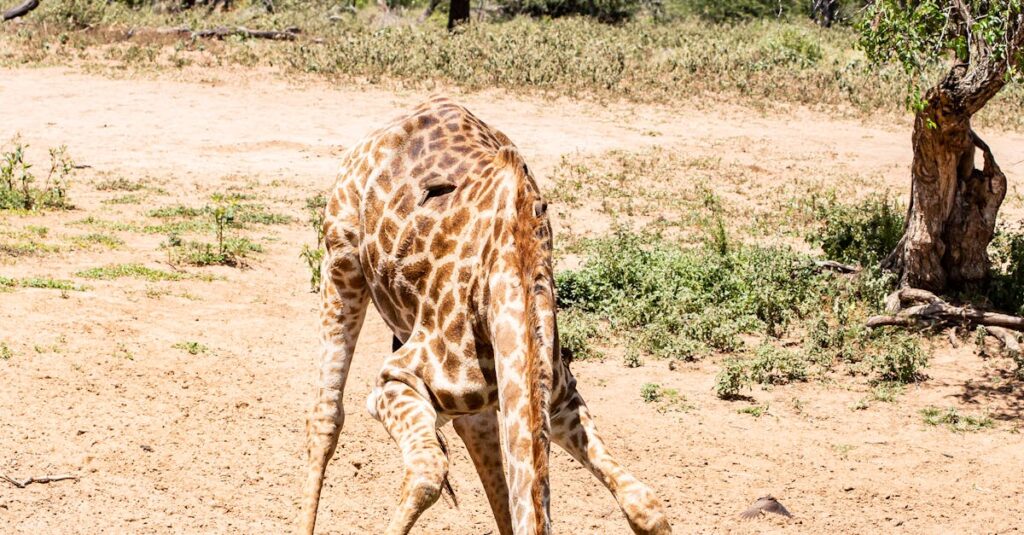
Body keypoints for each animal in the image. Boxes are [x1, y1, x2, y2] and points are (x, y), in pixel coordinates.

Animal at [299, 96, 671, 532]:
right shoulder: (394, 382)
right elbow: (427, 473)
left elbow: (645, 504)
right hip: (340, 257)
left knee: (476, 436)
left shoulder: (560, 398)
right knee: (326, 417)